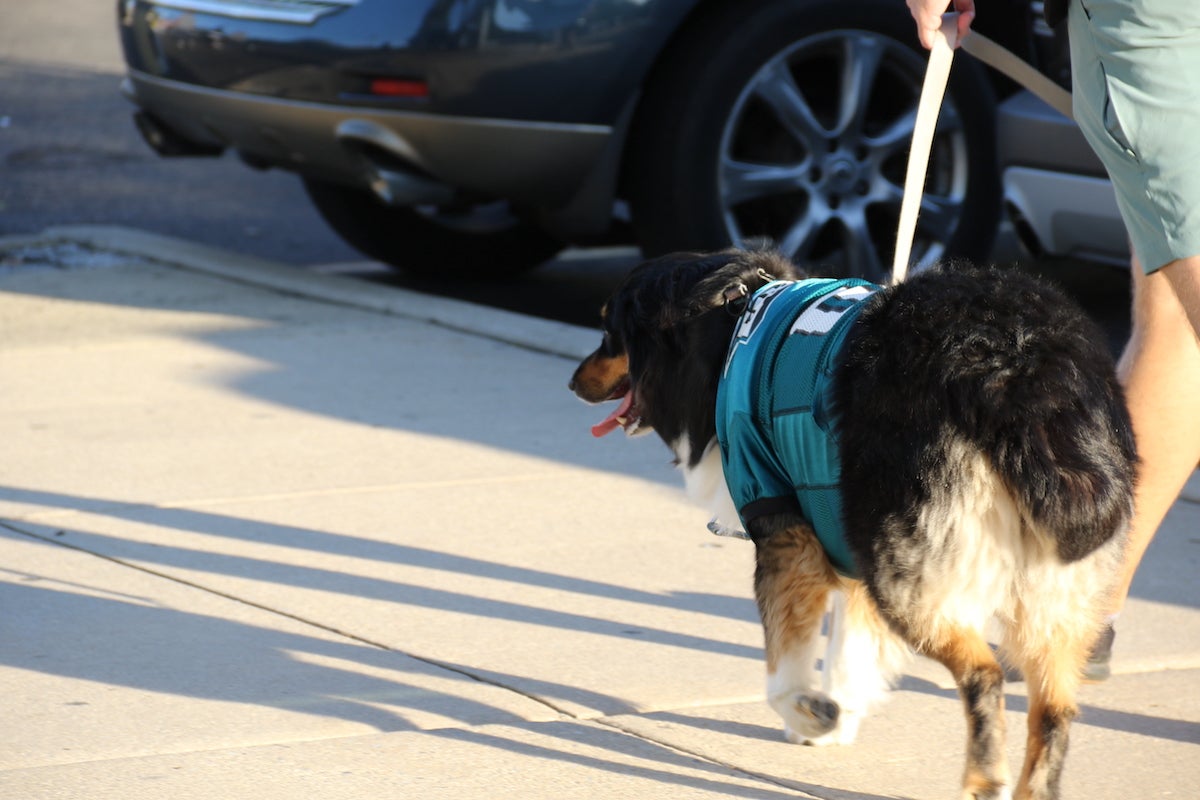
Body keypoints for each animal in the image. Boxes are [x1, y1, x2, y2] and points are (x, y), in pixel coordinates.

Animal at [571, 250, 1132, 800]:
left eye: (609, 332)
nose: (574, 382)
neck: (727, 325)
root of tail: (1019, 366)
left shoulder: (787, 532)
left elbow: (785, 663)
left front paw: (806, 711)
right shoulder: (849, 539)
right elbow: (850, 651)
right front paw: (834, 718)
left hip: (908, 576)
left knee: (983, 674)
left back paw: (983, 779)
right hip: (1040, 588)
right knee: (1054, 707)